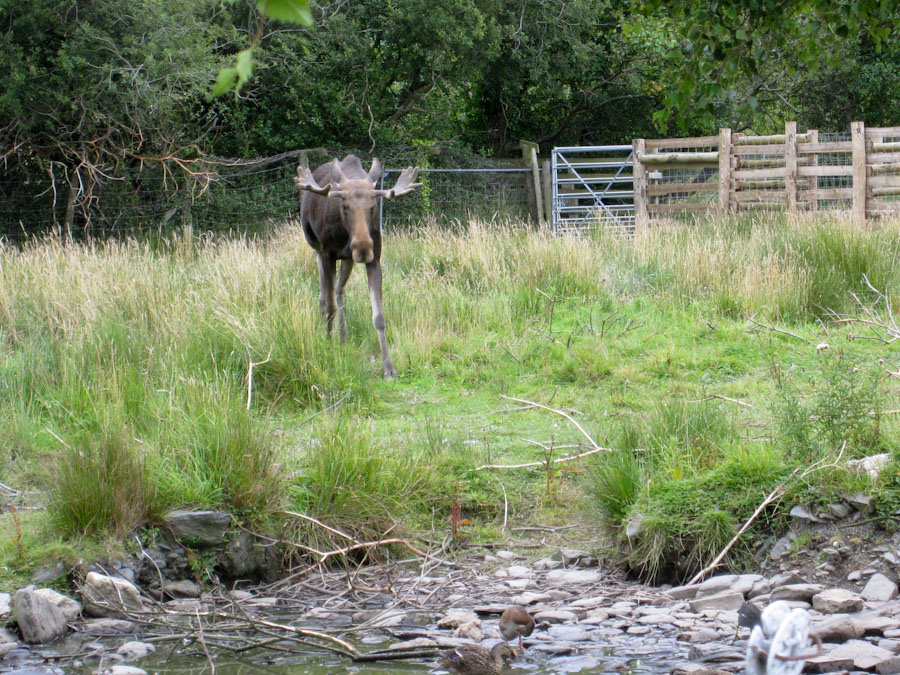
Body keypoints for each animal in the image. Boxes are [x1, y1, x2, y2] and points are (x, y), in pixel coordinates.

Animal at [294, 154, 421, 379]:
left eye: (373, 206)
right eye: (344, 206)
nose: (363, 248)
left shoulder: (374, 260)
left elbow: (378, 316)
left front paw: (388, 367)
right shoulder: (327, 254)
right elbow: (329, 306)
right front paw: (328, 344)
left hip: (347, 259)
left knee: (339, 290)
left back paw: (343, 338)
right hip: (317, 248)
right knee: (324, 296)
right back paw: (330, 335)